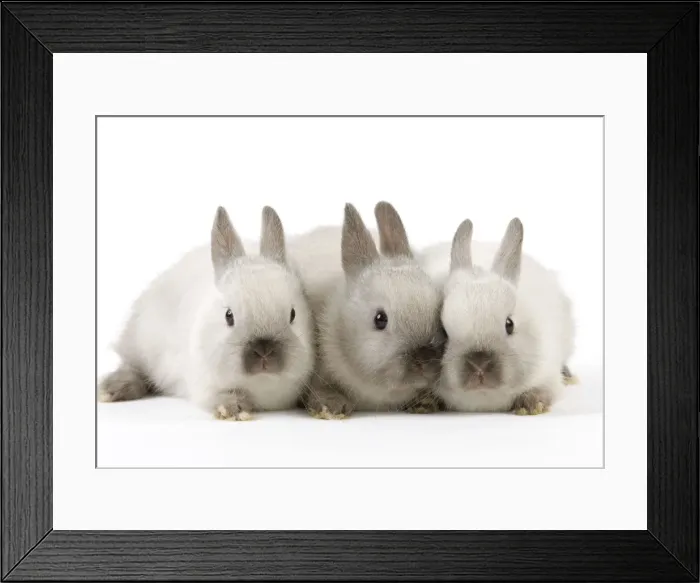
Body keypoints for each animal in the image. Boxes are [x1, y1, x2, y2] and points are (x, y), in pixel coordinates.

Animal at [98, 205, 315, 421]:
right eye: (229, 316)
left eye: (293, 314)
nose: (264, 351)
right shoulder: (203, 386)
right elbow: (219, 396)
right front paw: (233, 409)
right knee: (132, 367)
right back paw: (112, 390)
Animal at [287, 201, 446, 419]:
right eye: (380, 319)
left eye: (439, 309)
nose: (425, 360)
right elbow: (320, 387)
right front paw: (331, 405)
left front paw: (426, 403)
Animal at [417, 218, 576, 414]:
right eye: (443, 332)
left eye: (510, 324)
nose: (479, 364)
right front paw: (424, 403)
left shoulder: (548, 373)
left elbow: (545, 390)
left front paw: (532, 404)